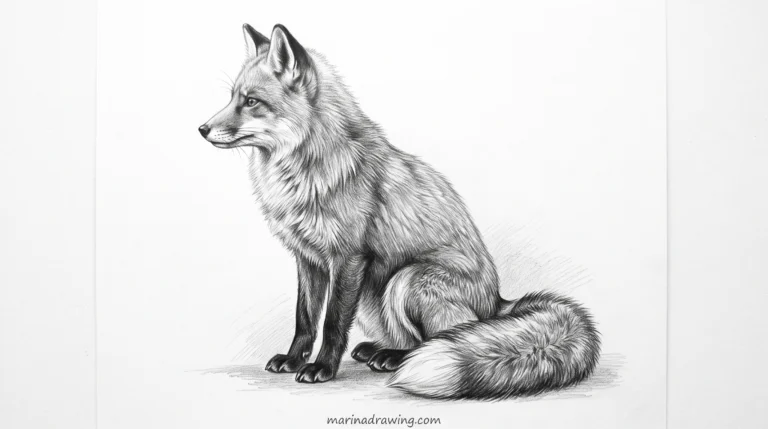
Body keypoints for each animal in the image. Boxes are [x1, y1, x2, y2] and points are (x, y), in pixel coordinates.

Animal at [199, 23, 601, 400]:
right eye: (232, 98)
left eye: (251, 101)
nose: (201, 129)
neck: (305, 172)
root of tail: (497, 303)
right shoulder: (308, 259)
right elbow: (305, 320)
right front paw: (294, 359)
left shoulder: (348, 258)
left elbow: (331, 324)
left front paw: (322, 368)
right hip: (373, 298)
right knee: (416, 338)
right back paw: (378, 351)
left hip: (406, 280)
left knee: (444, 337)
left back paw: (393, 359)